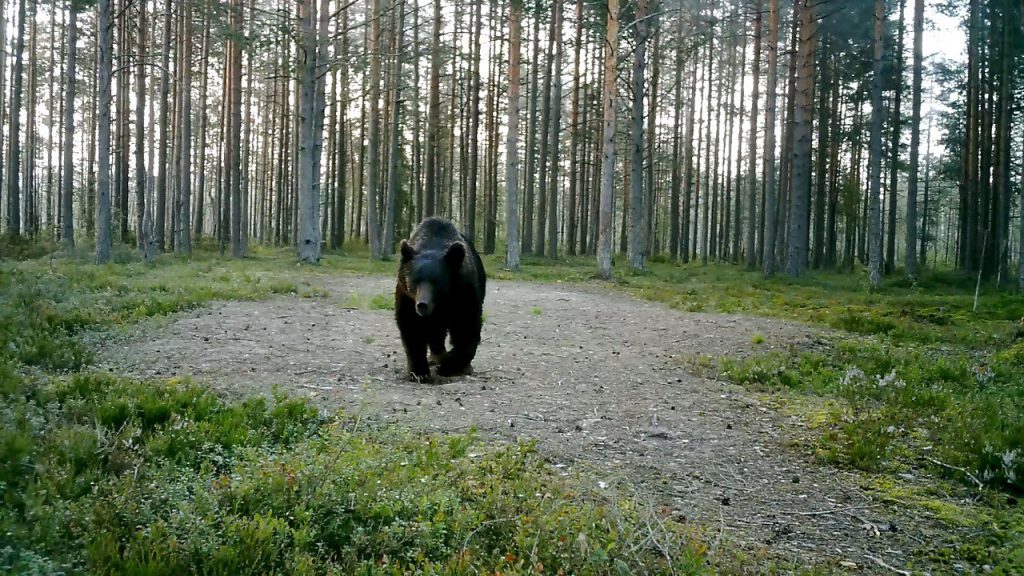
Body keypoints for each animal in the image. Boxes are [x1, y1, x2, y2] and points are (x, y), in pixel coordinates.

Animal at [393, 216, 485, 381]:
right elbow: (411, 328)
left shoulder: (464, 292)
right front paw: (420, 372)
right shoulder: (406, 298)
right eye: (414, 281)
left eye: (437, 281)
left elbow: (467, 327)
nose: (422, 305)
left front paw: (448, 364)